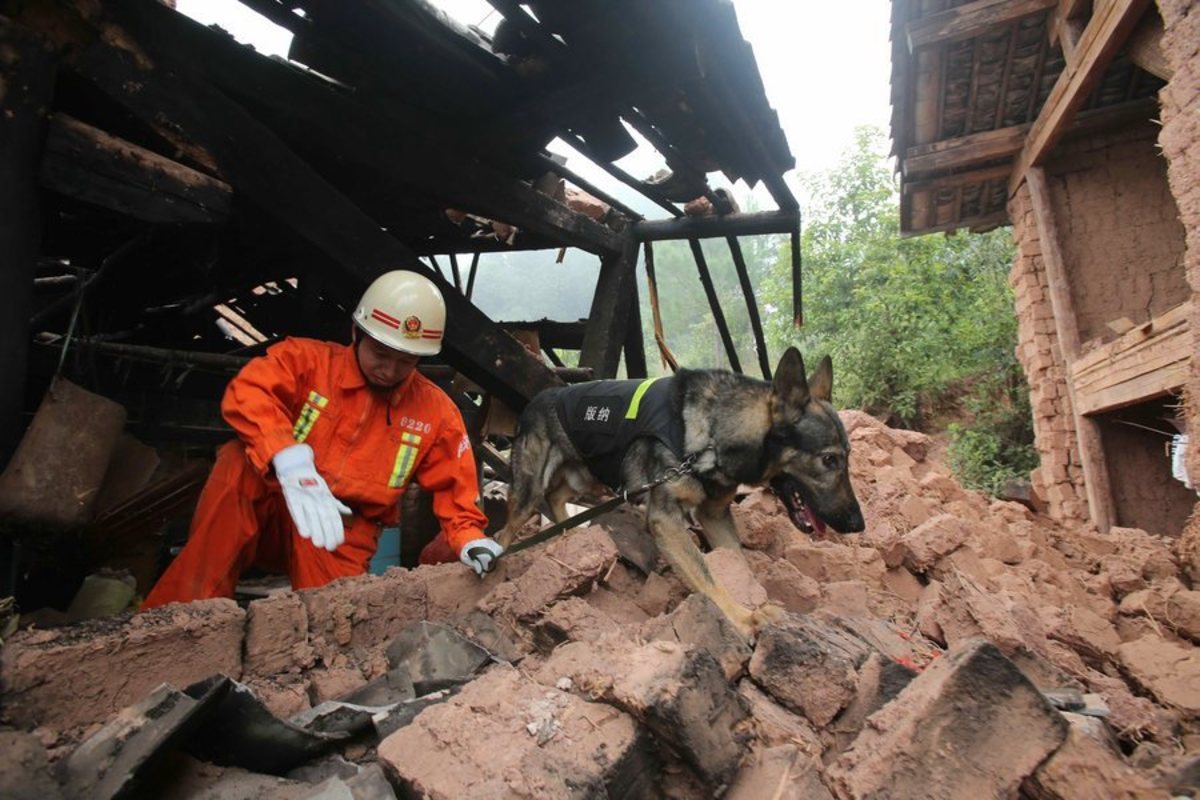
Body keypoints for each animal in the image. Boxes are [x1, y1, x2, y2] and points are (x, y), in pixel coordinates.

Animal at [492, 347, 868, 633]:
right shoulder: (667, 520)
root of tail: (537, 398)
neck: (716, 433)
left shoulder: (714, 516)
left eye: (847, 457)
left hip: (583, 477)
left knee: (555, 499)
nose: (857, 525)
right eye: (829, 460)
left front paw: (757, 600)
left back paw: (568, 537)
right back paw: (496, 569)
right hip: (528, 492)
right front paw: (743, 619)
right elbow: (707, 577)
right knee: (506, 531)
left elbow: (737, 564)